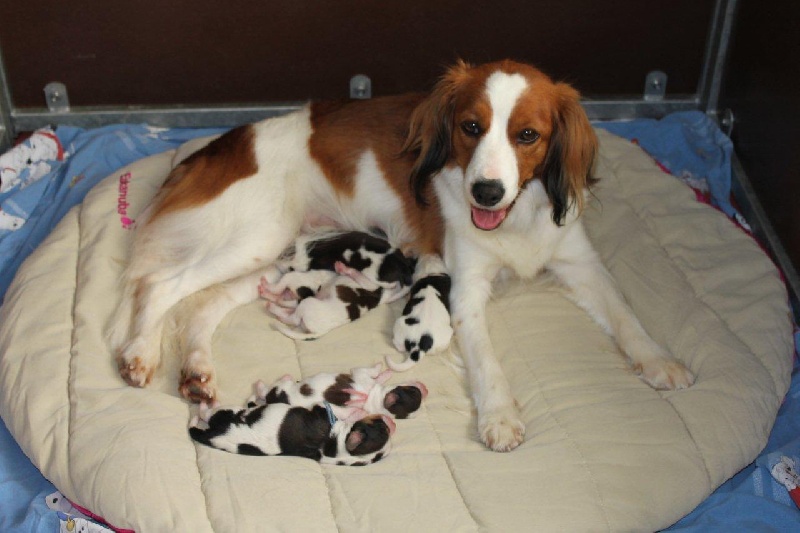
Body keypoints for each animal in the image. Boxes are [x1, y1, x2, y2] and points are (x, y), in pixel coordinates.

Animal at [188, 396, 394, 464]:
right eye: (381, 425)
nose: (390, 422)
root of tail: (213, 434)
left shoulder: (321, 407)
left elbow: (333, 407)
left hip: (225, 413)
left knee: (203, 414)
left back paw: (202, 407)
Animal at [255, 362, 432, 420]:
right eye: (413, 391)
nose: (426, 388)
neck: (372, 398)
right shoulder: (360, 373)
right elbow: (371, 372)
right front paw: (382, 369)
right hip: (280, 388)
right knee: (266, 390)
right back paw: (260, 383)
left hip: (281, 389)